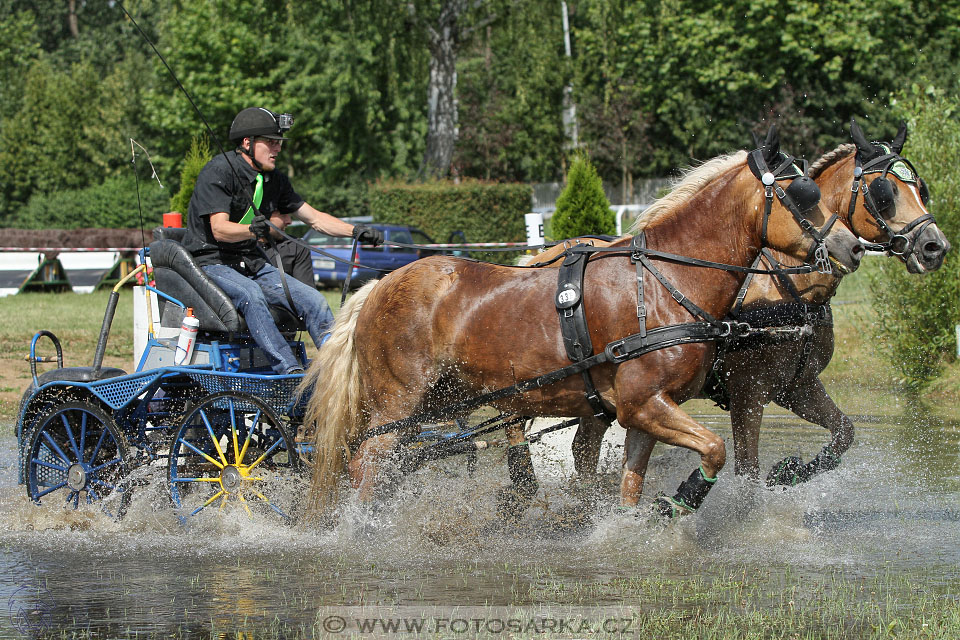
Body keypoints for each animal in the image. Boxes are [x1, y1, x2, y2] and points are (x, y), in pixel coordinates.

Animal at [300, 139, 864, 516]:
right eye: (804, 193)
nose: (851, 248)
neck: (662, 282)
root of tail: (381, 284)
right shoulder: (650, 401)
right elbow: (717, 449)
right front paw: (681, 500)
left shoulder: (644, 411)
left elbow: (632, 482)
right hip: (397, 405)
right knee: (368, 463)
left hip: (441, 401)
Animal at [552, 119, 948, 490]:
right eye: (886, 192)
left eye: (921, 189)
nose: (935, 247)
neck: (786, 289)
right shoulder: (748, 394)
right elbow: (748, 472)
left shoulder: (797, 387)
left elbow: (843, 433)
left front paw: (790, 471)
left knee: (584, 446)